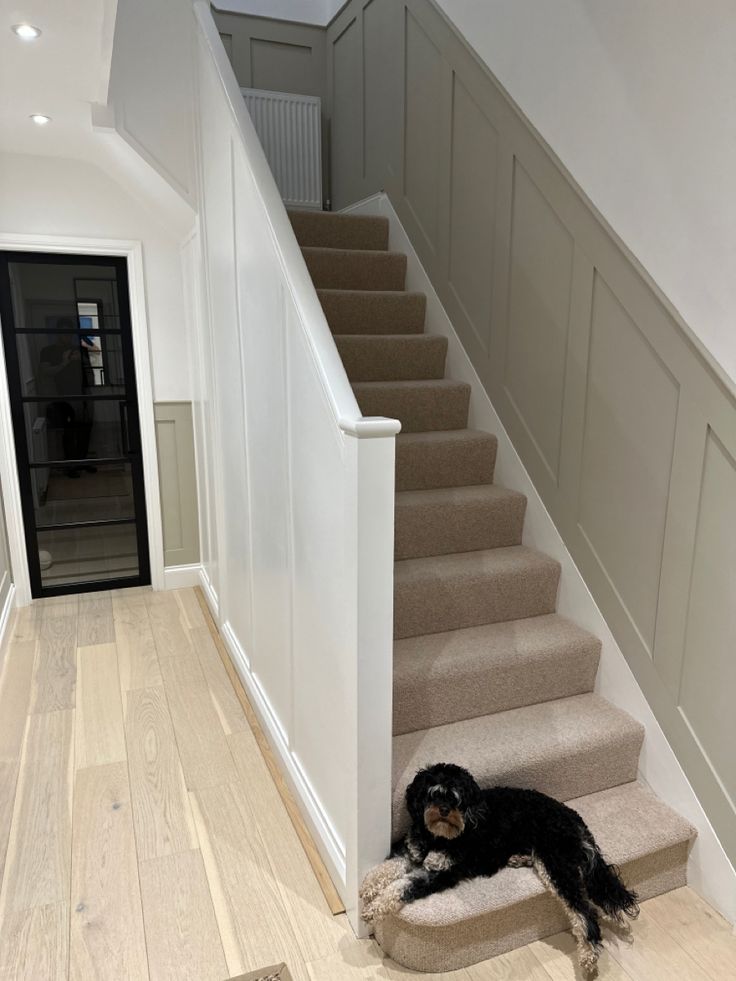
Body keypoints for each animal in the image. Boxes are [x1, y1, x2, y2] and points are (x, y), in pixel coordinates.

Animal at [362, 760, 640, 968]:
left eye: (456, 798)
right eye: (433, 794)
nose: (443, 810)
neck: (438, 837)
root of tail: (576, 822)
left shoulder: (442, 873)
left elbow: (403, 886)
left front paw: (374, 908)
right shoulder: (410, 848)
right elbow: (388, 867)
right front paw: (367, 886)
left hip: (557, 864)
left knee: (584, 911)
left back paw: (589, 955)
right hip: (547, 860)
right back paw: (518, 858)